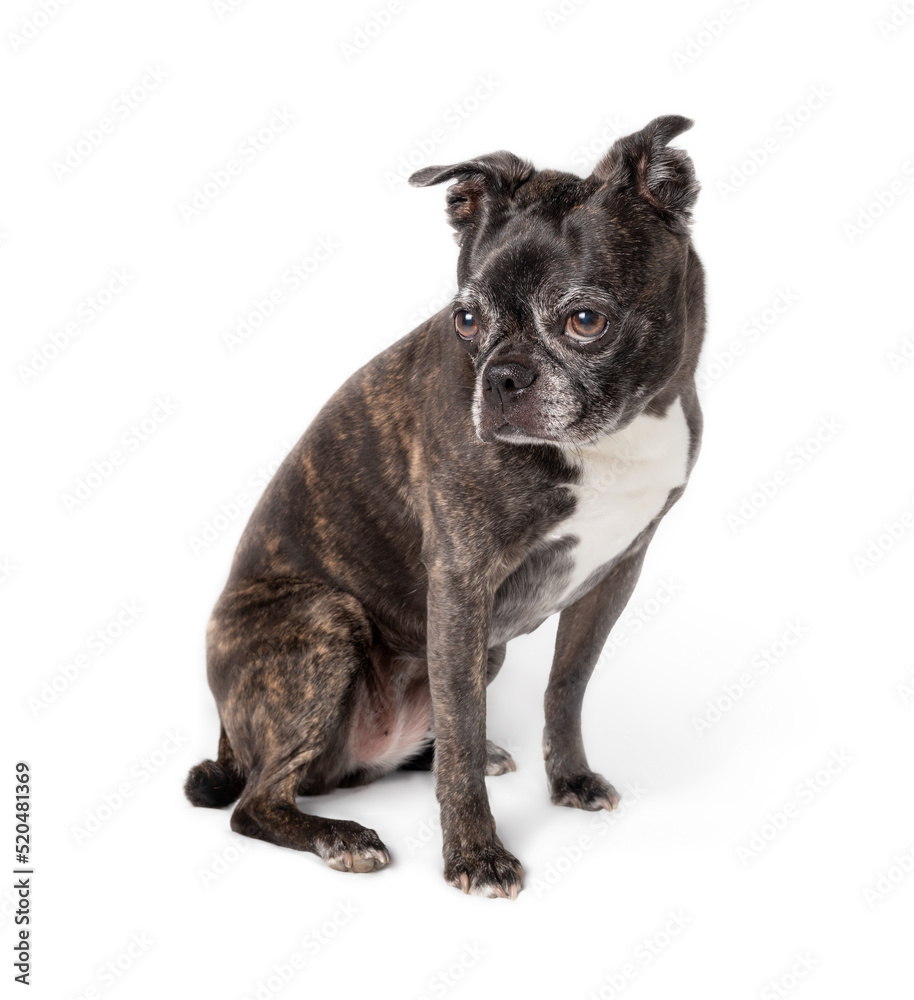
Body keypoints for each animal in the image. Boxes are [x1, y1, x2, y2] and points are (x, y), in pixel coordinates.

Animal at [185, 115, 704, 900]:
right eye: (464, 320)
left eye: (585, 321)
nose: (503, 377)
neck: (614, 437)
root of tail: (226, 731)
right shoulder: (462, 581)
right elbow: (459, 729)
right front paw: (476, 853)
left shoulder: (614, 573)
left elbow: (565, 687)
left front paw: (570, 779)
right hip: (325, 620)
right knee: (257, 801)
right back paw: (341, 837)